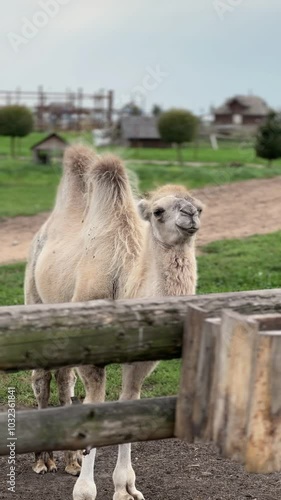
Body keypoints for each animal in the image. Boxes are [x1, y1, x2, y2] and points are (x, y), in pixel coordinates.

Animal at [24, 145, 203, 500]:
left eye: (199, 206)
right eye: (159, 210)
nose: (190, 214)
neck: (125, 288)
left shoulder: (141, 361)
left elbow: (128, 407)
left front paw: (125, 488)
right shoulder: (92, 355)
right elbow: (94, 407)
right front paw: (84, 491)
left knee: (64, 379)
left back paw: (71, 461)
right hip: (34, 295)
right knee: (42, 378)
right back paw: (43, 461)